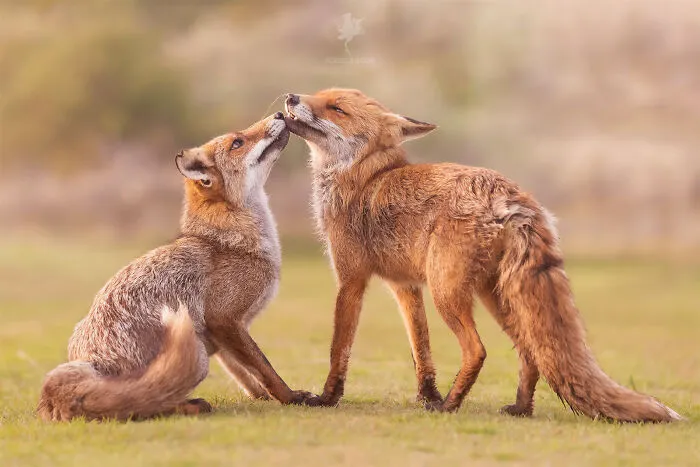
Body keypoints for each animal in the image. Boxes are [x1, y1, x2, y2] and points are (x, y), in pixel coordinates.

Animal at [37, 112, 318, 421]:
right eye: (237, 142)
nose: (279, 114)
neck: (229, 241)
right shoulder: (224, 319)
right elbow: (266, 369)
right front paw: (291, 397)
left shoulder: (223, 333)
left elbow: (245, 374)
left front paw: (263, 397)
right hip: (196, 355)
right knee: (143, 403)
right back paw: (188, 405)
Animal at [283, 88, 681, 423]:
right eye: (318, 94)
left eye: (337, 108)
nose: (291, 97)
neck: (361, 176)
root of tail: (509, 194)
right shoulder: (406, 286)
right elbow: (421, 350)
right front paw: (427, 396)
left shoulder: (351, 279)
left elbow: (339, 349)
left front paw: (327, 398)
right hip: (493, 294)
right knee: (530, 351)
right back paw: (519, 408)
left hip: (448, 292)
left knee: (478, 350)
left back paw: (451, 406)